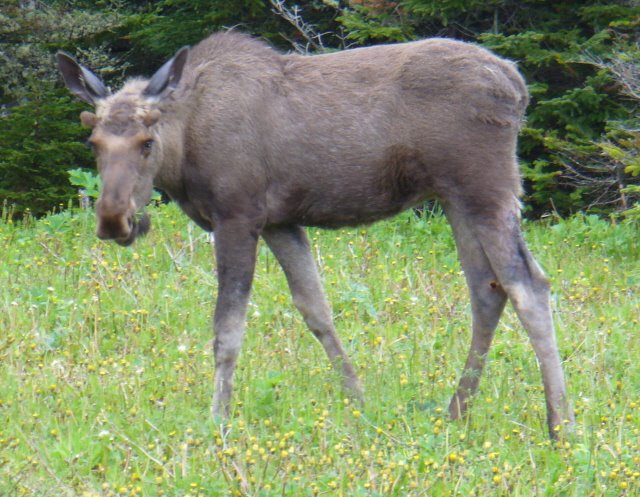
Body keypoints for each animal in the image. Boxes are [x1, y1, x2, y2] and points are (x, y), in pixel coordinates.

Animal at [57, 30, 574, 438]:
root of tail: (518, 87)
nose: (114, 220)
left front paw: (218, 420)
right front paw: (359, 401)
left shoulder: (238, 215)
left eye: (147, 141)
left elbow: (228, 330)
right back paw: (456, 411)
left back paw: (560, 425)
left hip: (486, 186)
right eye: (94, 141)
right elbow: (316, 308)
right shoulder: (281, 221)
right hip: (454, 197)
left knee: (528, 284)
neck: (184, 150)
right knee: (486, 288)